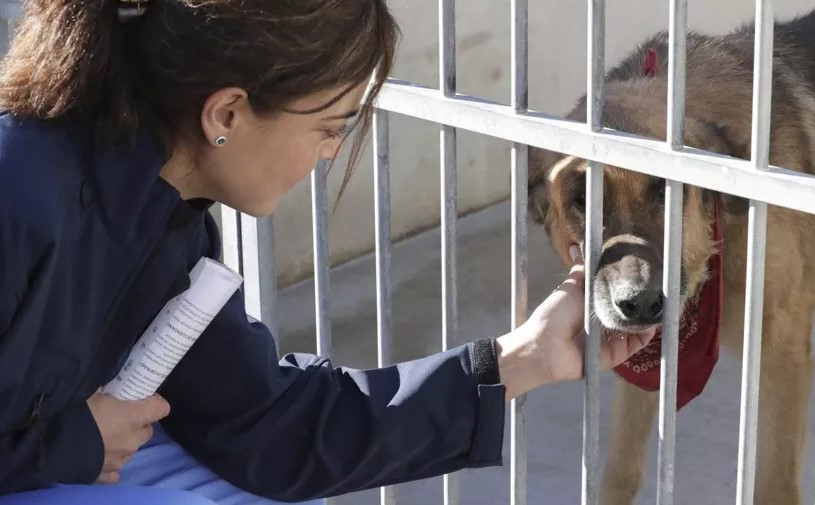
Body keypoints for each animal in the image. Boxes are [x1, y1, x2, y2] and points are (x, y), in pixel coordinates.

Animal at [528, 7, 815, 504]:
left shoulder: (784, 353)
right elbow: (619, 471)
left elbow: (774, 485)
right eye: (582, 198)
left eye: (665, 190)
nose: (640, 303)